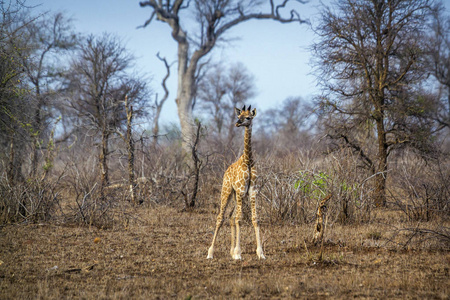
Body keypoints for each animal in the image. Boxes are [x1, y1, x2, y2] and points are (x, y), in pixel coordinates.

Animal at [207, 104, 266, 258]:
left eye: (248, 117)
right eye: (239, 116)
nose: (237, 123)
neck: (248, 161)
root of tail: (226, 170)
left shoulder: (252, 191)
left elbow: (255, 219)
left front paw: (260, 253)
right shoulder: (240, 191)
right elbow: (239, 218)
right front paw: (239, 254)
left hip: (236, 195)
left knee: (231, 216)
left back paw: (231, 251)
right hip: (227, 191)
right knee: (221, 217)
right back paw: (210, 252)